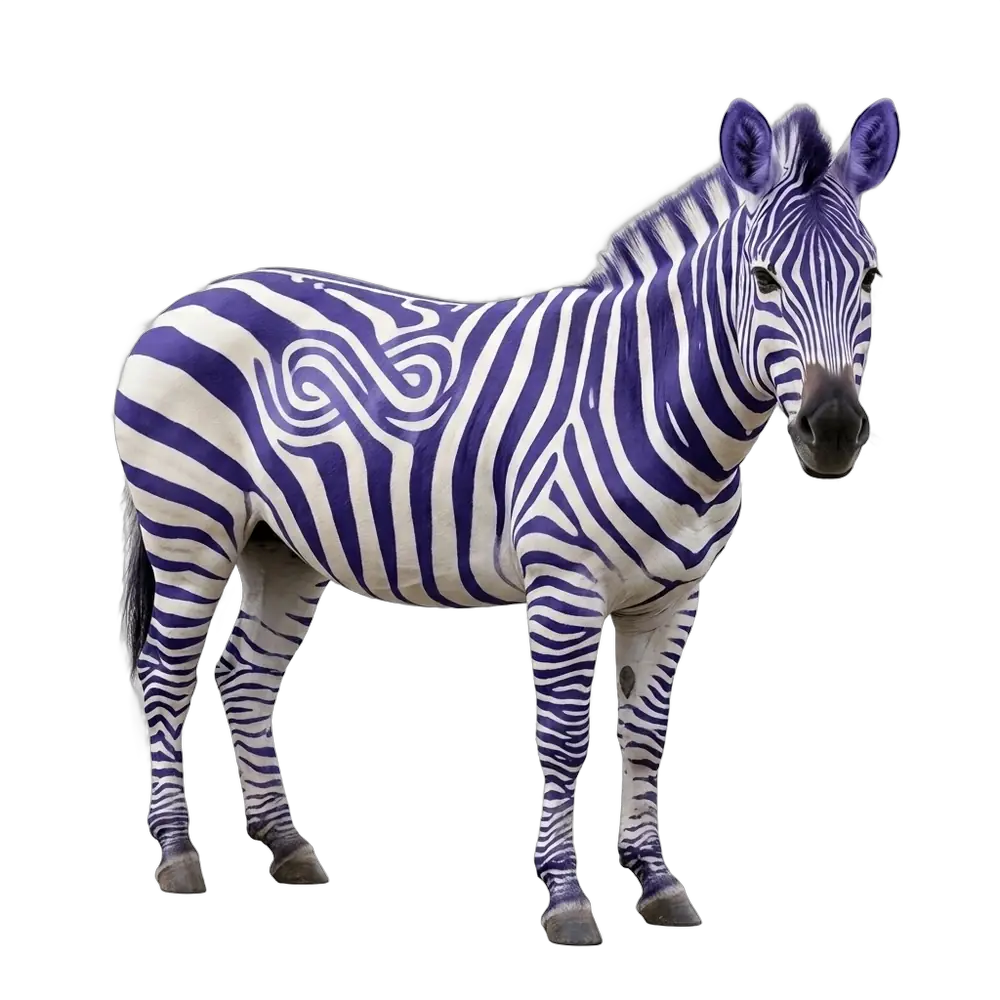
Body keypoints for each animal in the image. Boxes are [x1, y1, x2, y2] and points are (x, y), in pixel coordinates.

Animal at [115, 97, 897, 940]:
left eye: (869, 276)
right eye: (764, 279)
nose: (833, 431)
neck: (645, 395)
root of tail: (192, 299)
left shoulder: (672, 597)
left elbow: (645, 736)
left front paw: (657, 884)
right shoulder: (565, 586)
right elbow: (565, 737)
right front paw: (565, 899)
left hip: (279, 546)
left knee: (244, 675)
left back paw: (287, 847)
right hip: (189, 523)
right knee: (165, 673)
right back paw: (179, 857)